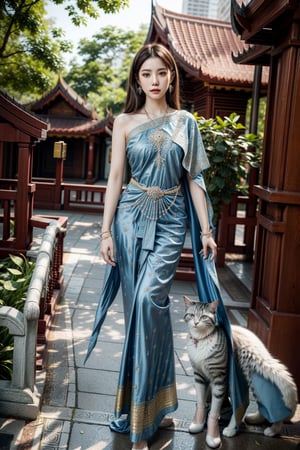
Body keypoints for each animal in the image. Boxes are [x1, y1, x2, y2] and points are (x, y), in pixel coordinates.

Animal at [183, 298, 298, 448]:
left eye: (203, 317)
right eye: (191, 315)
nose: (196, 323)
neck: (200, 340)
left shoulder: (219, 377)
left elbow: (214, 408)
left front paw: (212, 430)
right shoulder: (199, 375)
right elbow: (201, 401)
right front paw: (198, 422)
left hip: (246, 367)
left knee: (243, 404)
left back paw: (263, 429)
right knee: (259, 401)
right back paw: (256, 419)